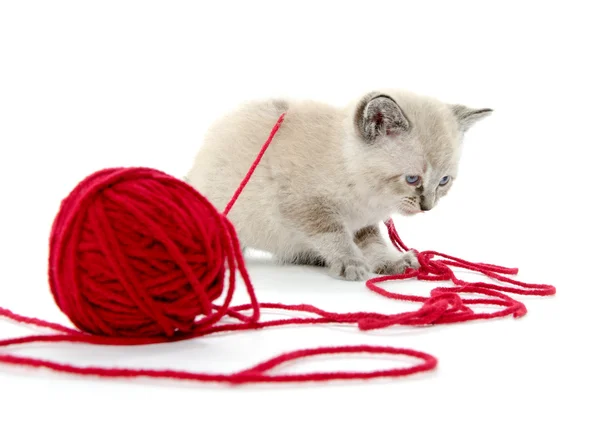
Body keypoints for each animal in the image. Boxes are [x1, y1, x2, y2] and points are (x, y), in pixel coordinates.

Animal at [186, 89, 492, 280]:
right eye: (412, 179)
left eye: (444, 181)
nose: (427, 207)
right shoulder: (306, 208)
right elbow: (334, 237)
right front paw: (350, 263)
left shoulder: (364, 223)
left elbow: (373, 243)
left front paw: (391, 261)